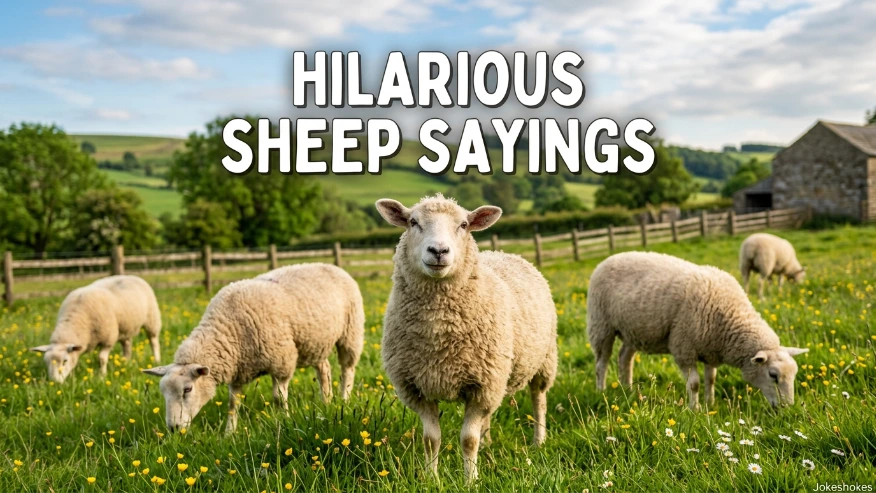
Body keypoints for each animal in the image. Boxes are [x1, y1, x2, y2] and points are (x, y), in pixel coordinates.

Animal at [30, 275, 161, 383]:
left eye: (65, 361)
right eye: (46, 362)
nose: (55, 382)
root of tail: (131, 276)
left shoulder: (108, 338)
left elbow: (101, 358)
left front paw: (102, 376)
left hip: (151, 320)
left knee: (153, 341)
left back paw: (156, 359)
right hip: (125, 326)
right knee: (127, 345)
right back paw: (125, 362)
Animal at [143, 263, 364, 432]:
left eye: (187, 389)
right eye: (163, 392)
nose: (173, 428)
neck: (229, 328)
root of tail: (331, 265)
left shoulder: (282, 361)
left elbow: (278, 398)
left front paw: (284, 420)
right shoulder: (238, 370)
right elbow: (233, 404)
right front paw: (229, 433)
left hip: (350, 332)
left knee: (348, 369)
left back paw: (344, 399)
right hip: (316, 342)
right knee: (324, 369)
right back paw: (326, 400)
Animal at [376, 195, 557, 483]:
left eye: (463, 225)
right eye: (413, 222)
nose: (439, 251)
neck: (439, 332)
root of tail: (504, 253)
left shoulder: (482, 386)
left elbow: (467, 439)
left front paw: (470, 479)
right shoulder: (417, 388)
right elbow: (430, 439)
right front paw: (432, 479)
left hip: (543, 360)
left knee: (539, 400)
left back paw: (538, 441)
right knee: (489, 417)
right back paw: (489, 442)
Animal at [587, 251, 808, 410]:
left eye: (794, 374)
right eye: (773, 375)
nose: (788, 408)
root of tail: (609, 258)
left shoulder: (710, 348)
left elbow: (711, 379)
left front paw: (710, 403)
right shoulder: (684, 347)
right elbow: (694, 383)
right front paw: (695, 409)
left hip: (633, 331)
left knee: (625, 357)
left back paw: (628, 389)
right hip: (601, 325)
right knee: (601, 363)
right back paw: (601, 390)